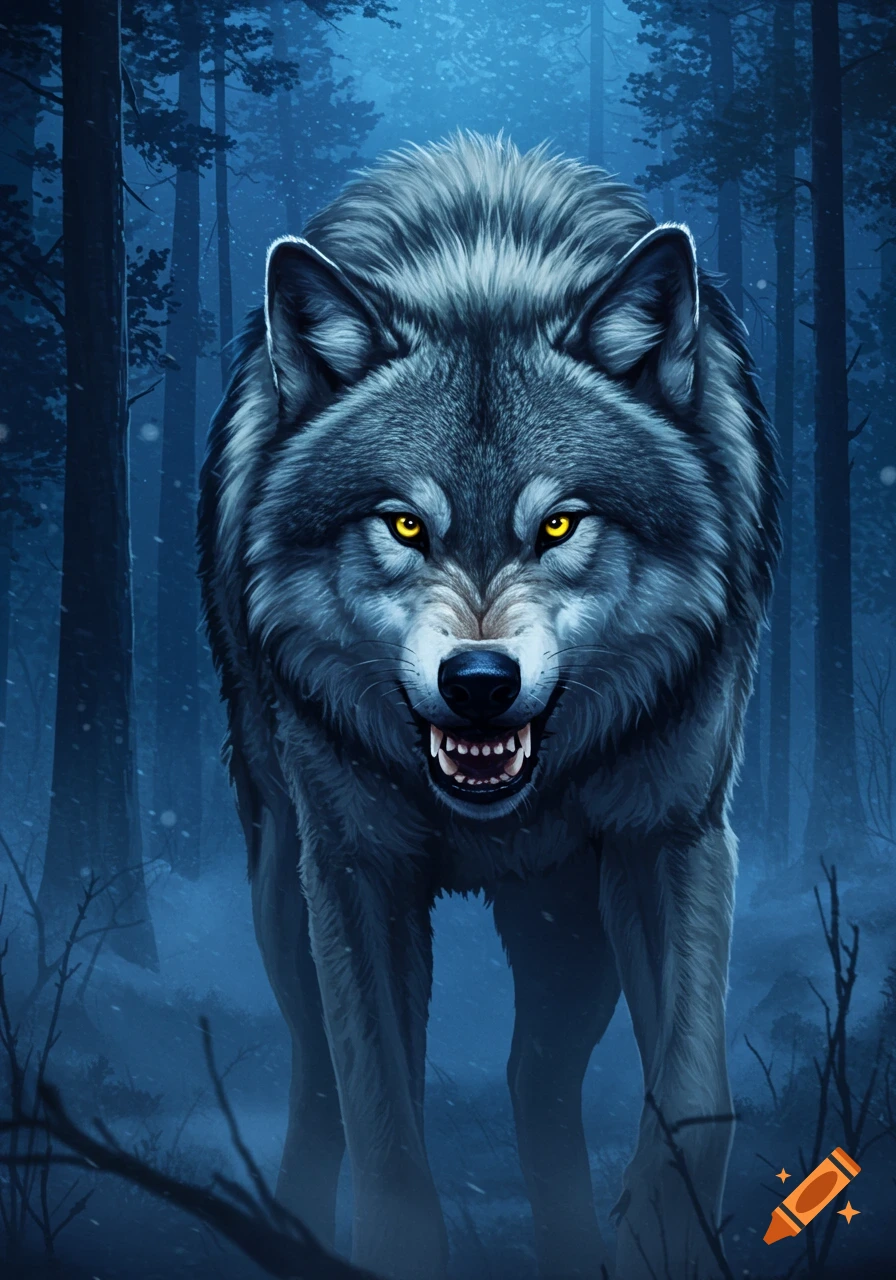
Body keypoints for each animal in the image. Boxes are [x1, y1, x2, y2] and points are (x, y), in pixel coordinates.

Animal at [198, 135, 779, 1280]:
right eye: (403, 524)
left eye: (558, 523)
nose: (478, 679)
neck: (482, 270)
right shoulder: (353, 866)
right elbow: (382, 1128)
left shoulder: (674, 837)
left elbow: (697, 1096)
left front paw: (660, 1242)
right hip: (282, 885)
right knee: (316, 1079)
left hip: (569, 922)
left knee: (534, 1081)